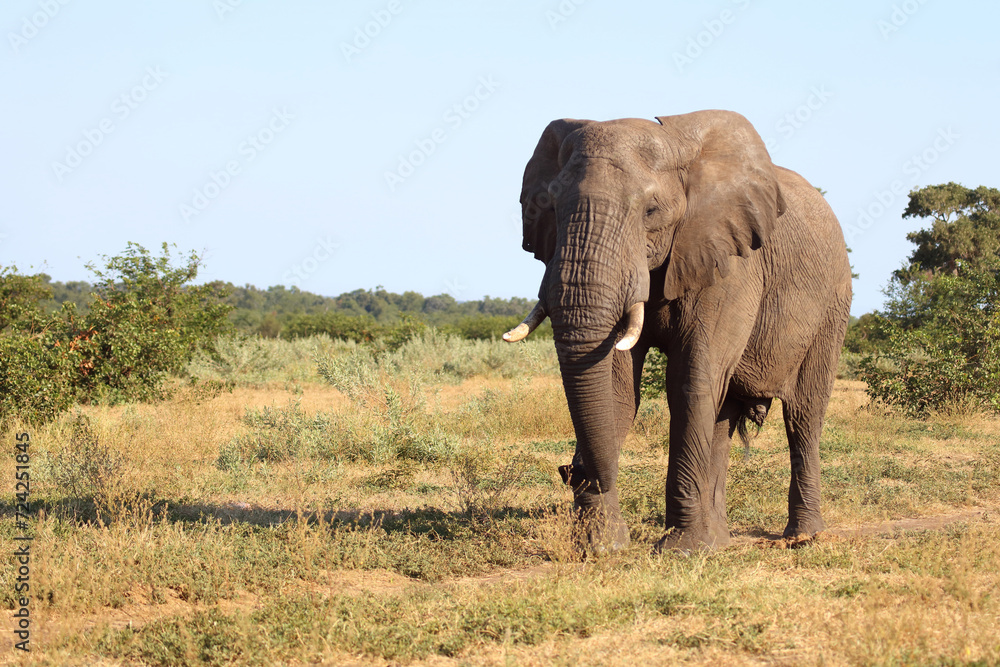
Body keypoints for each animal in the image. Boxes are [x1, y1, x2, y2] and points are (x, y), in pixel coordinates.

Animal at [503, 110, 852, 551]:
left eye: (651, 211)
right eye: (550, 205)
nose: (570, 470)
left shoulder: (729, 263)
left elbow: (690, 380)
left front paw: (680, 551)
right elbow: (617, 388)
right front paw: (603, 548)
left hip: (833, 303)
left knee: (803, 415)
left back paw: (801, 537)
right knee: (723, 414)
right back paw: (719, 540)